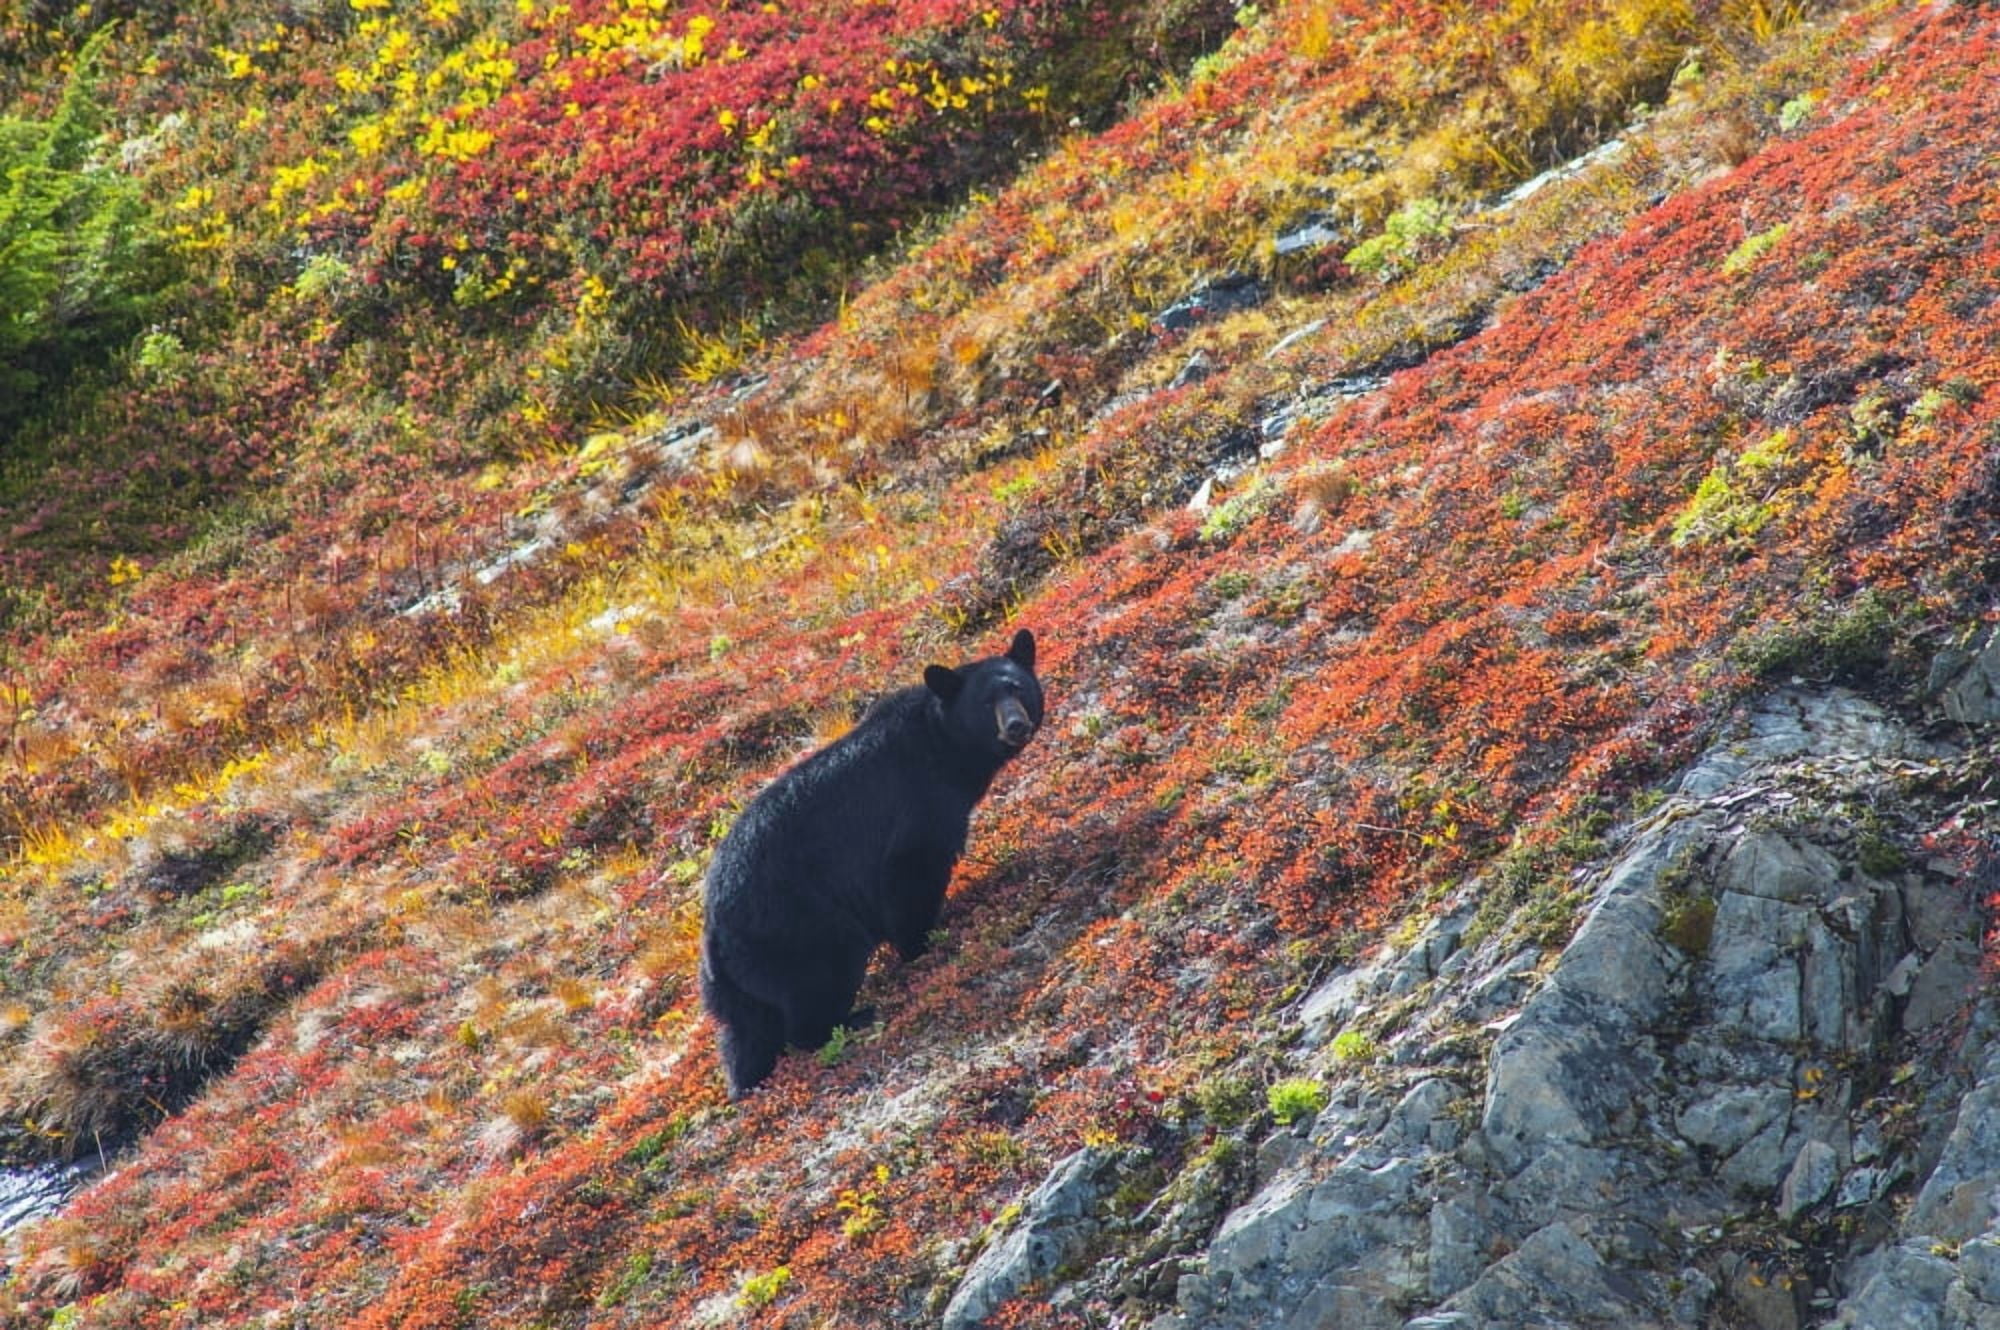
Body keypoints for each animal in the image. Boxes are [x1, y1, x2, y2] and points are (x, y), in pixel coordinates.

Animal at [699, 629, 1045, 1099]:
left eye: (1018, 688)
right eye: (985, 701)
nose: (1015, 725)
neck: (942, 748)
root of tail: (714, 931)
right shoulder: (917, 803)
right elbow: (910, 872)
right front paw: (924, 942)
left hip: (738, 982)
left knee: (747, 1033)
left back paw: (747, 1080)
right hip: (797, 931)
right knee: (819, 983)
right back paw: (850, 1020)